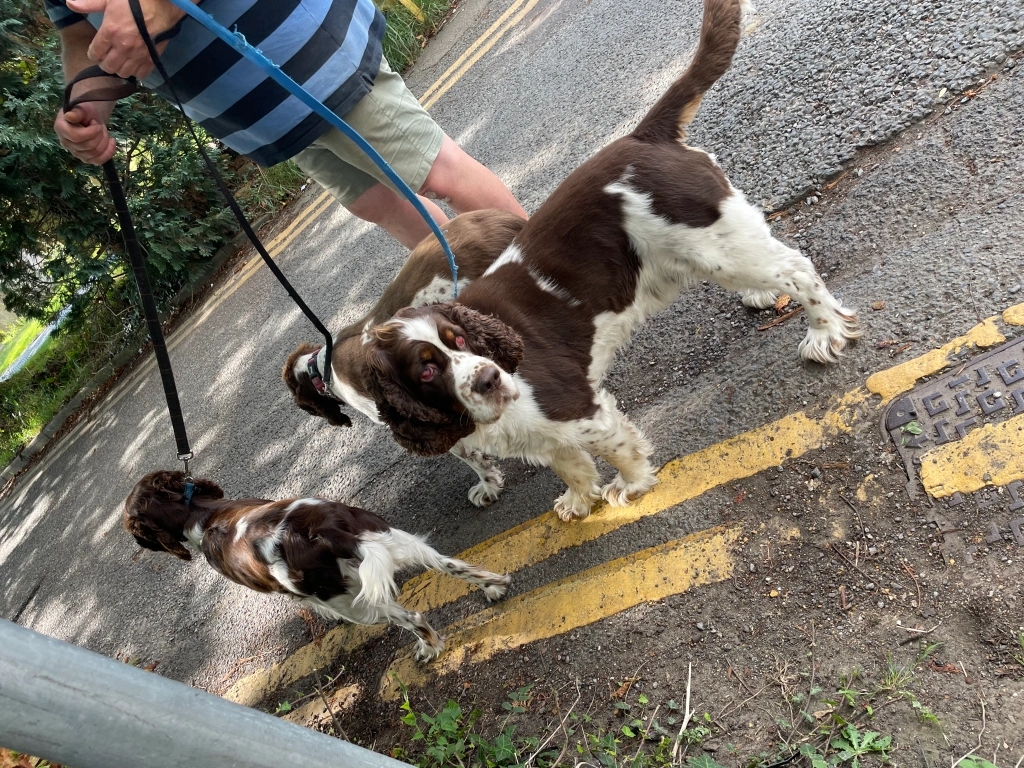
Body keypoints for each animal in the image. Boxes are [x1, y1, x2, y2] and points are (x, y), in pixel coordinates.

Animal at [124, 470, 510, 660]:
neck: (199, 513)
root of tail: (319, 532)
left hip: (353, 602)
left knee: (413, 618)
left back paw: (429, 648)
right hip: (392, 538)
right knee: (452, 565)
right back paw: (494, 586)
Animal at [359, 0, 861, 522]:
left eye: (457, 339)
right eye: (426, 371)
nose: (488, 378)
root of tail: (643, 137)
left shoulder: (575, 407)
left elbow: (616, 447)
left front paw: (631, 485)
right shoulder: (540, 432)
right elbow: (571, 466)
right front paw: (579, 501)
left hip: (713, 243)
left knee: (798, 270)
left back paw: (824, 333)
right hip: (714, 248)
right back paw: (763, 296)